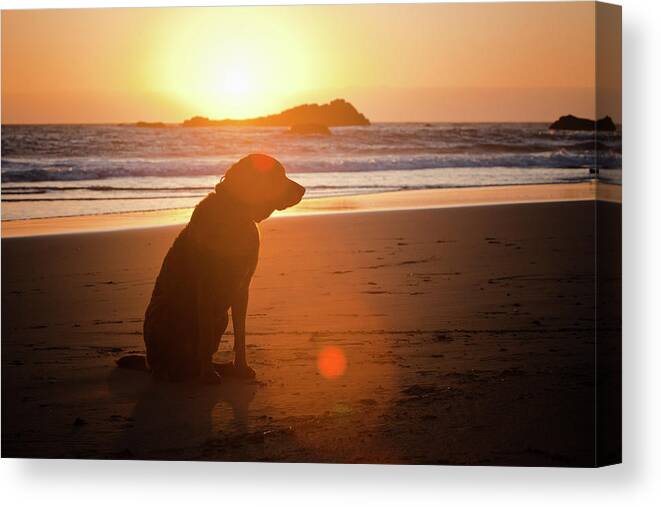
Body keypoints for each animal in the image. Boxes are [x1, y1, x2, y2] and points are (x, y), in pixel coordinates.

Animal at [137, 155, 306, 384]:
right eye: (277, 175)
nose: (303, 189)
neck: (236, 215)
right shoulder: (206, 286)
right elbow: (206, 335)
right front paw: (208, 375)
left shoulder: (242, 288)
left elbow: (240, 334)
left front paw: (241, 368)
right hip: (163, 309)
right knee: (161, 362)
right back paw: (169, 373)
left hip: (221, 316)